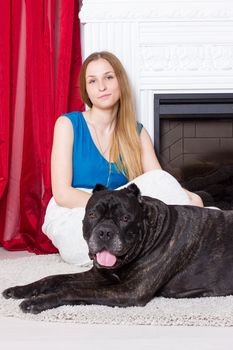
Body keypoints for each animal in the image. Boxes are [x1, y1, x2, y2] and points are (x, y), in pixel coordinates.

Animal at [1, 183, 233, 314]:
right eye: (92, 214)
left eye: (125, 218)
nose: (105, 232)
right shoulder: (99, 275)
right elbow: (52, 279)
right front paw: (19, 290)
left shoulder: (129, 291)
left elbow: (71, 290)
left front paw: (37, 302)